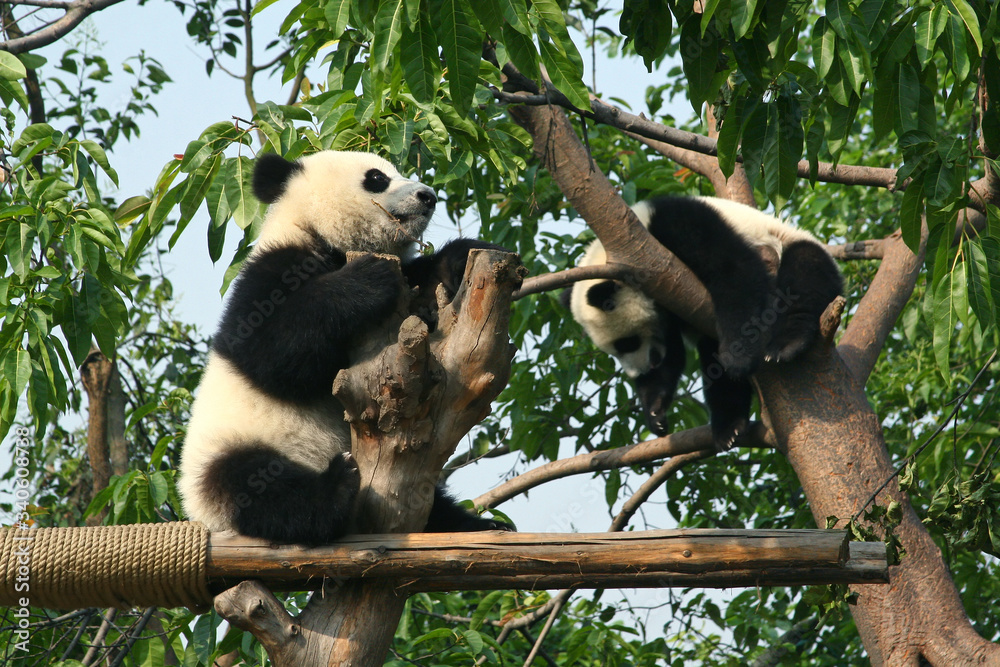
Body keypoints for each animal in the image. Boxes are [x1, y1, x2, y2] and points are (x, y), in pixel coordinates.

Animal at [178, 150, 512, 545]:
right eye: (377, 178)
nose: (428, 196)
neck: (321, 237)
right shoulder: (271, 271)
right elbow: (270, 352)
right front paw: (368, 281)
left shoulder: (407, 284)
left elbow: (426, 293)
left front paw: (463, 258)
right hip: (231, 451)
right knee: (257, 486)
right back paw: (334, 488)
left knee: (433, 505)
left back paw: (482, 525)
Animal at [564, 195, 842, 448]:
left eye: (626, 343)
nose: (639, 372)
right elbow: (672, 354)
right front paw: (655, 411)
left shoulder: (671, 231)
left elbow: (732, 270)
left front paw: (738, 358)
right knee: (713, 361)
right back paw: (729, 427)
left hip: (788, 244)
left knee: (804, 275)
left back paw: (787, 344)